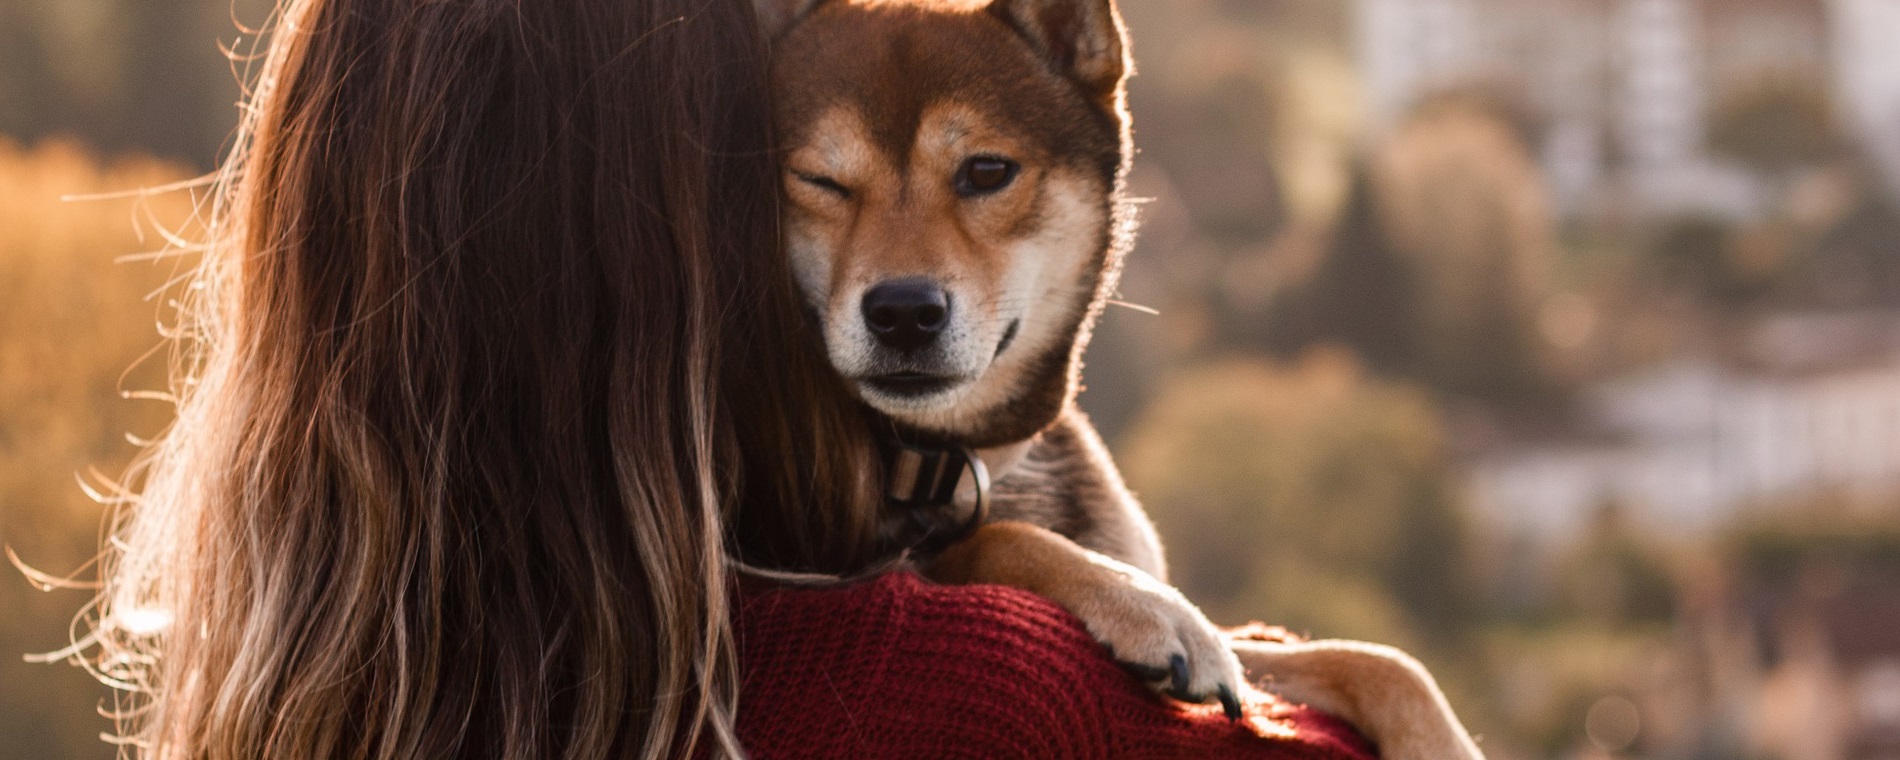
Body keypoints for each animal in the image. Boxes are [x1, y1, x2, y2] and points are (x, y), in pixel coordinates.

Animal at [756, 1, 1482, 752]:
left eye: (986, 171)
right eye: (819, 181)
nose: (902, 312)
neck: (949, 462)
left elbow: (1374, 661)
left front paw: (1439, 740)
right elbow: (1000, 539)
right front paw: (1138, 602)